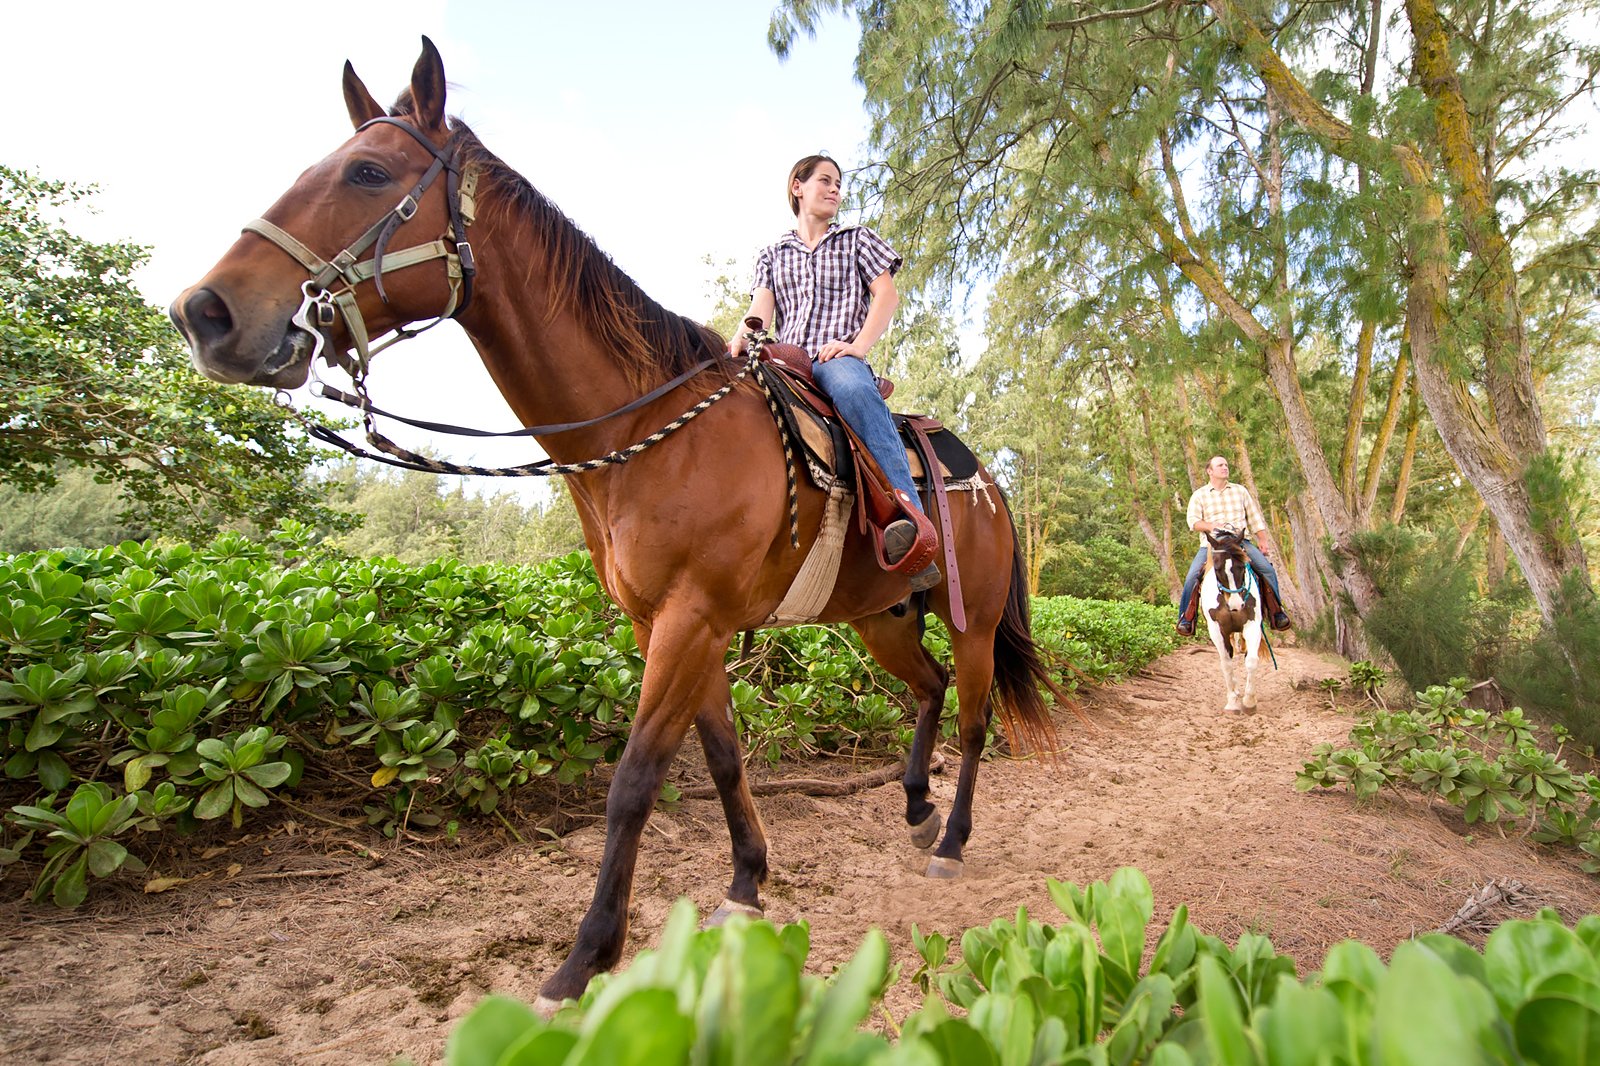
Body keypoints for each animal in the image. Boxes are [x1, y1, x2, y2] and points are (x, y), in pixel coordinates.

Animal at [168, 39, 1068, 1005]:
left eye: (368, 172)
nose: (205, 312)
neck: (649, 436)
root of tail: (989, 480)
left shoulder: (690, 621)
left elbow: (634, 782)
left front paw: (584, 959)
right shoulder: (667, 625)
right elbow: (721, 757)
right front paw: (746, 883)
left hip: (969, 618)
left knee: (973, 717)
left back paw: (952, 838)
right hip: (881, 618)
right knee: (928, 689)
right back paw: (916, 805)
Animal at [1203, 528, 1260, 710]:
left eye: (1242, 566)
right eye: (1217, 568)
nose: (1236, 605)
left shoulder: (1252, 625)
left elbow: (1251, 660)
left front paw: (1249, 701)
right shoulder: (1216, 630)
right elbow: (1226, 664)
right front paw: (1233, 702)